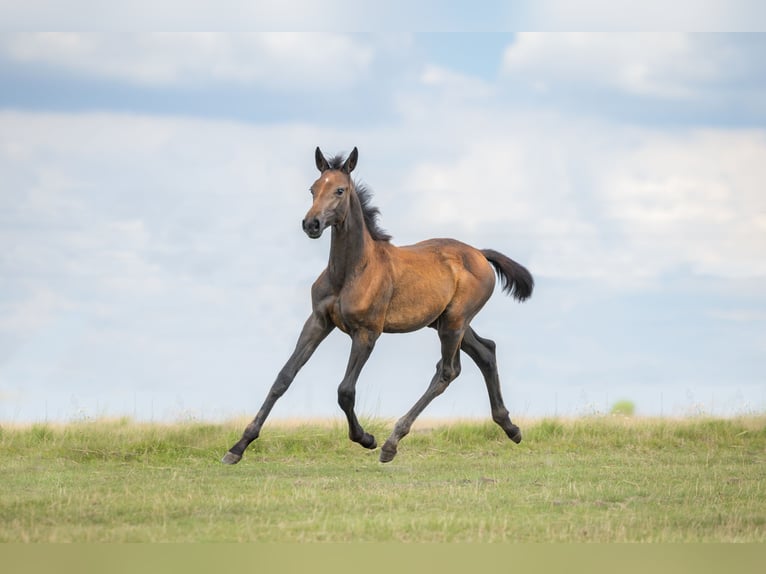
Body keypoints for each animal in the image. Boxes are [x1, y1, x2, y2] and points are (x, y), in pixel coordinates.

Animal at [222, 146, 536, 466]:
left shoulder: (367, 332)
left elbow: (345, 390)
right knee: (486, 351)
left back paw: (391, 443)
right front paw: (238, 447)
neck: (351, 271)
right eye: (312, 189)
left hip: (454, 323)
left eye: (340, 190)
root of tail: (481, 254)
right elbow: (283, 377)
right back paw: (510, 427)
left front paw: (366, 438)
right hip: (447, 321)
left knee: (447, 370)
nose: (311, 224)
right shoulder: (318, 321)